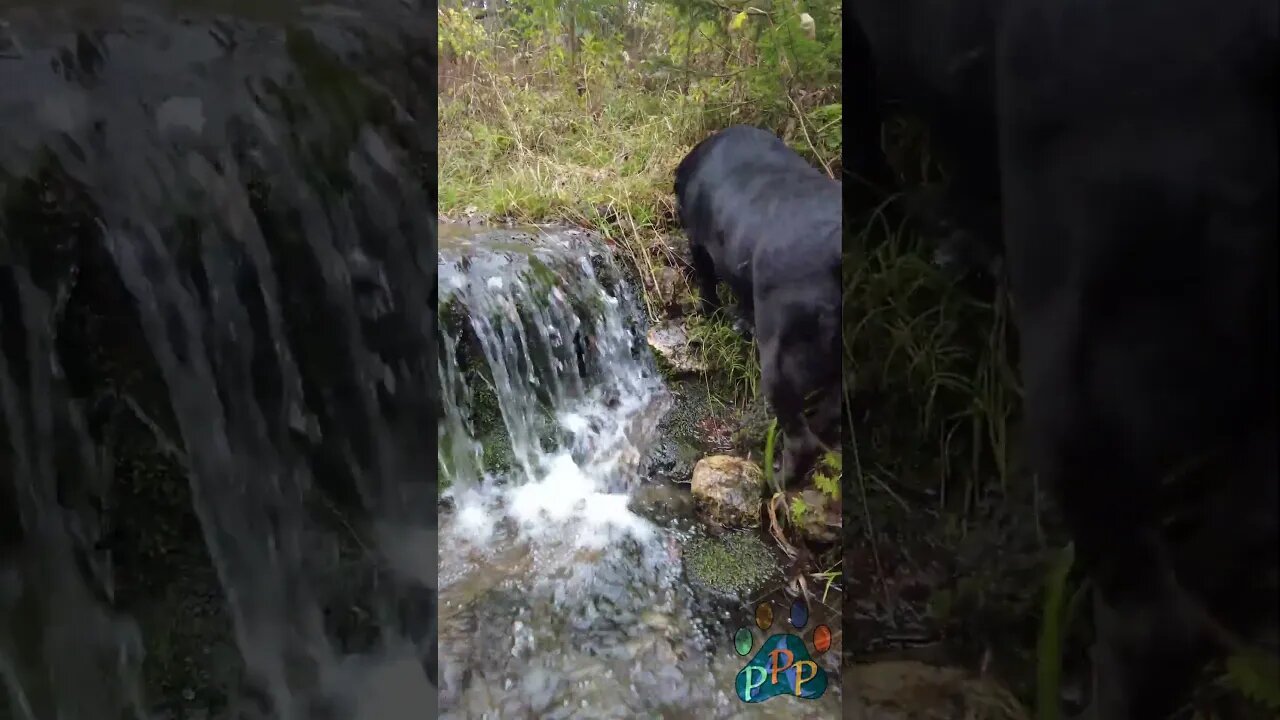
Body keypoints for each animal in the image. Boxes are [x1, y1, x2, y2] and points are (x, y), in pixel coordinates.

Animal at [675, 126, 844, 484]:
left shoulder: (699, 243)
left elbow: (707, 283)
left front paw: (709, 315)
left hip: (780, 362)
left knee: (800, 437)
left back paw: (778, 478)